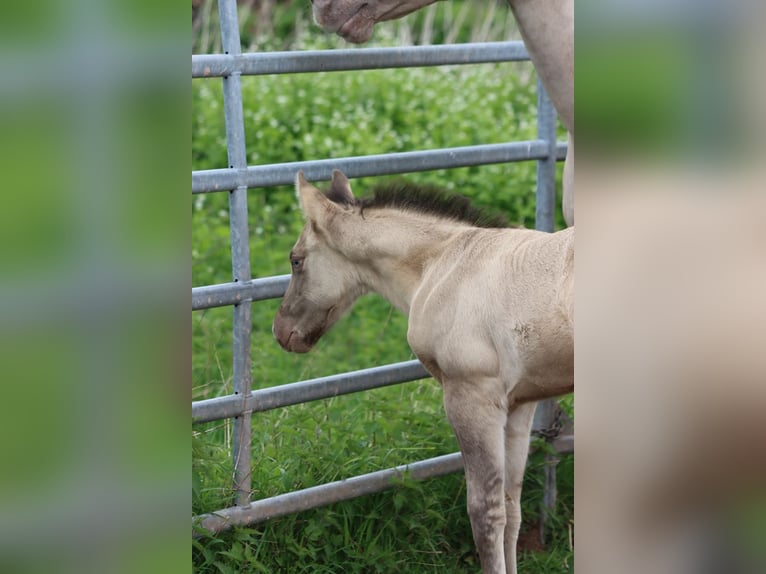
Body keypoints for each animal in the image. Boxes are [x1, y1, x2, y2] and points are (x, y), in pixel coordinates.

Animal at [273, 170, 574, 574]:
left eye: (296, 260)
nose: (282, 332)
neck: (442, 264)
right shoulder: (519, 404)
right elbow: (512, 507)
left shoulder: (471, 395)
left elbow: (486, 512)